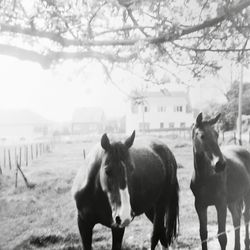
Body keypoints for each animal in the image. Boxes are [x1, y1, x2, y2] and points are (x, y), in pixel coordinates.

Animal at [191, 113, 250, 250]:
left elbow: (222, 237)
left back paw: (246, 243)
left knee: (245, 216)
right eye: (202, 136)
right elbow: (203, 234)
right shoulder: (200, 205)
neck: (205, 178)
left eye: (217, 134)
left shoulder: (220, 204)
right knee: (236, 218)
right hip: (233, 199)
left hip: (246, 194)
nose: (221, 164)